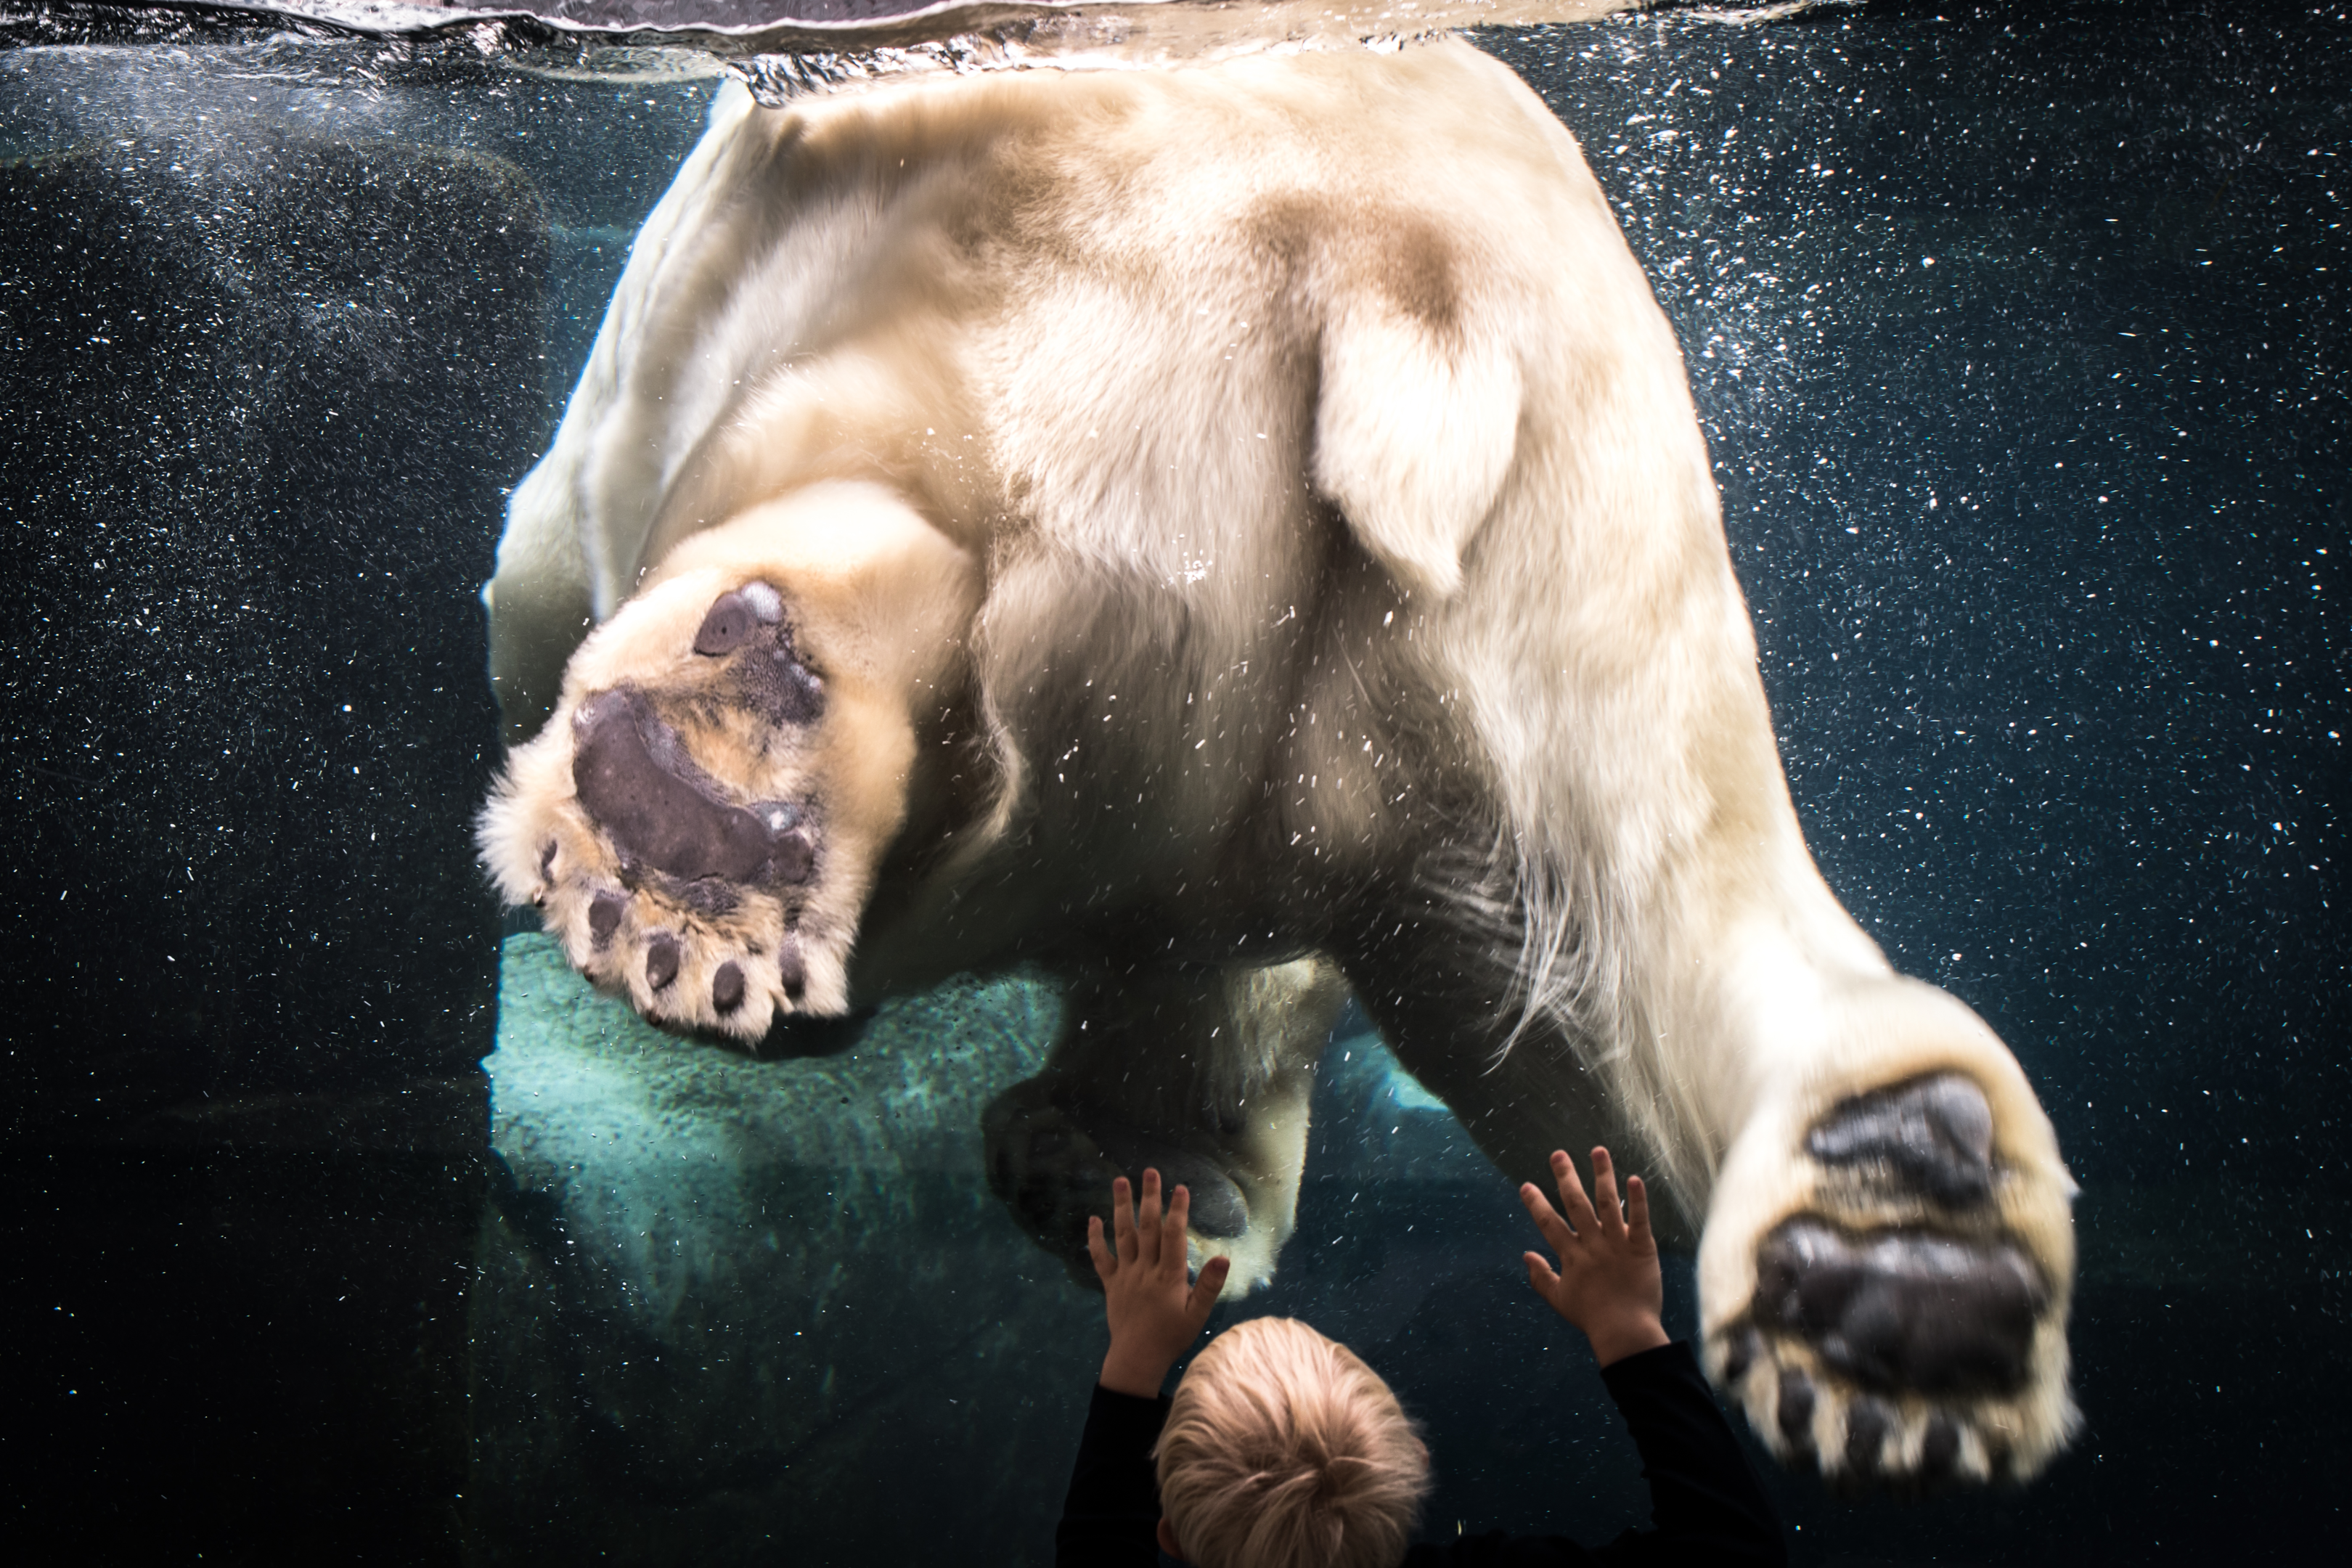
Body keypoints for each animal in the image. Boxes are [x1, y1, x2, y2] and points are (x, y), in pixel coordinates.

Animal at [473, 36, 2079, 1485]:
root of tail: (1394, 235)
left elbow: (538, 577)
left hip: (1071, 310)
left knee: (891, 482)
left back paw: (696, 819)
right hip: (1594, 513)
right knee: (1638, 920)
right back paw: (1909, 1241)